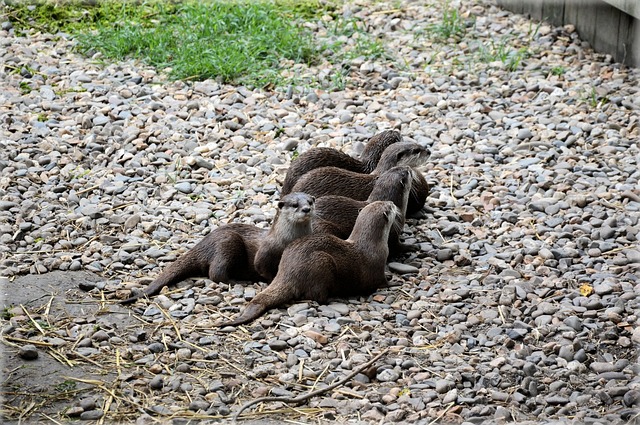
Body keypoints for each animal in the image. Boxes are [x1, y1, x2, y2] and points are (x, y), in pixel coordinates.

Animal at [119, 192, 316, 304]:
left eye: (310, 201)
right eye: (295, 205)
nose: (306, 209)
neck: (286, 239)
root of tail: (202, 244)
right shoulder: (266, 252)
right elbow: (262, 268)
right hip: (227, 243)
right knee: (215, 273)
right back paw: (238, 282)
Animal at [215, 200, 398, 326]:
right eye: (389, 207)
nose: (393, 202)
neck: (371, 243)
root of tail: (287, 272)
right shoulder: (377, 266)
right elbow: (382, 282)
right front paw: (394, 282)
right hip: (322, 263)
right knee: (315, 296)